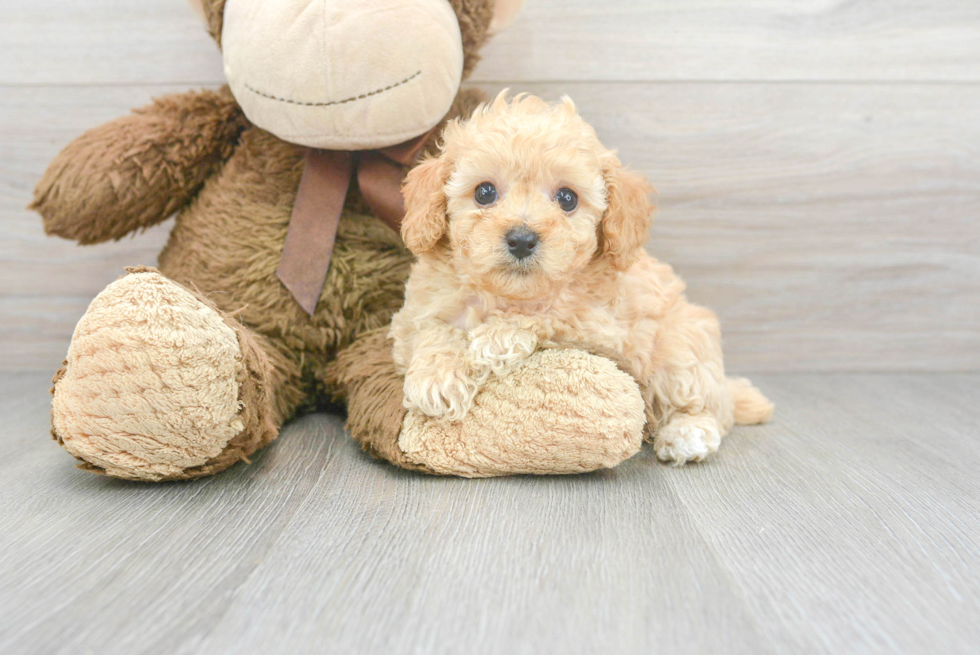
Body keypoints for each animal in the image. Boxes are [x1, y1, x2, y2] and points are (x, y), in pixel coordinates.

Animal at [390, 92, 772, 464]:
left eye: (567, 198)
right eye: (484, 192)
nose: (522, 239)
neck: (508, 295)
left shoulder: (598, 326)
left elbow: (550, 316)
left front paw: (497, 337)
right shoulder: (413, 316)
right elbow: (432, 331)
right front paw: (436, 377)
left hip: (680, 346)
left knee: (704, 406)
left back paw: (688, 434)